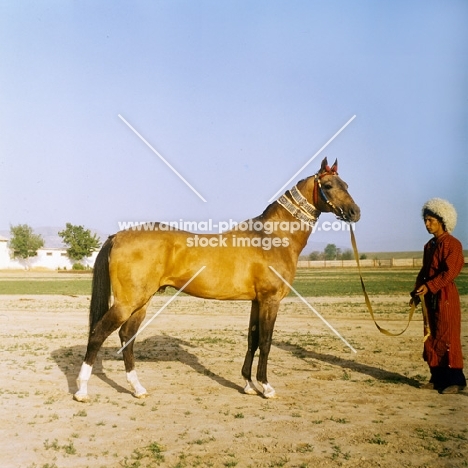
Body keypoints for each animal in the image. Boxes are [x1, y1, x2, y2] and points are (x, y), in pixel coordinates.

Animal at [74, 158, 358, 402]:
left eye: (347, 184)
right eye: (329, 186)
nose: (355, 212)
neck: (271, 238)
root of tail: (117, 236)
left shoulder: (256, 302)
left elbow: (253, 339)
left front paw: (248, 385)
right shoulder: (270, 301)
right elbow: (266, 342)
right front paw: (266, 387)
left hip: (142, 301)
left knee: (127, 336)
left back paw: (138, 389)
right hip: (128, 302)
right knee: (98, 333)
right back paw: (82, 390)